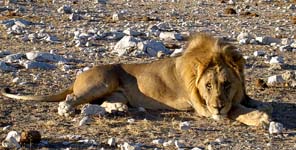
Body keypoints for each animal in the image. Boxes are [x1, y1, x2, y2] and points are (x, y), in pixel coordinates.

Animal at [1, 33, 270, 126]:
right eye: (208, 86)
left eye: (227, 84)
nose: (218, 105)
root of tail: (79, 75)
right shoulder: (202, 108)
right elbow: (234, 110)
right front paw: (260, 118)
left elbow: (240, 104)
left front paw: (255, 107)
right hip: (102, 80)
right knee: (70, 98)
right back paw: (67, 109)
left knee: (100, 103)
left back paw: (118, 108)